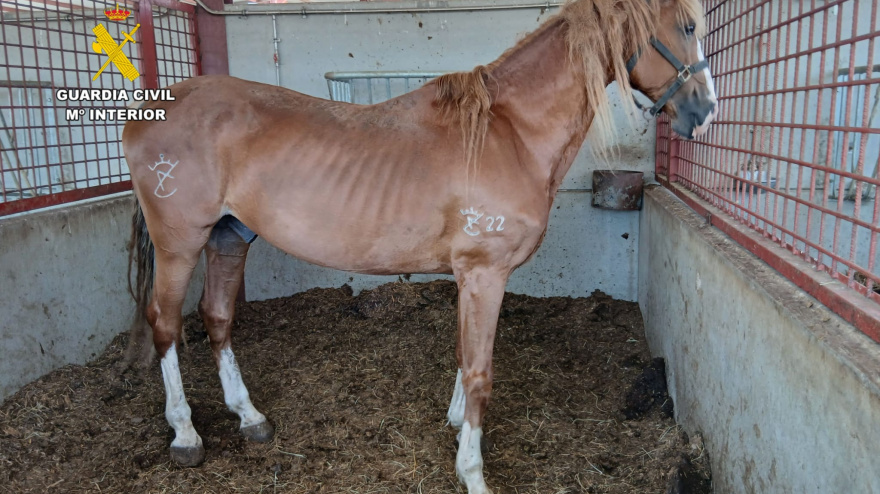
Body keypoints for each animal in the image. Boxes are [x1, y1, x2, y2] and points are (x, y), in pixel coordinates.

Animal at [122, 0, 716, 491]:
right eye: (687, 27)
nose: (704, 112)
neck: (510, 132)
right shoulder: (484, 272)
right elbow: (480, 372)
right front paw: (472, 472)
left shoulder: (470, 276)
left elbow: (462, 354)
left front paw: (455, 425)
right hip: (180, 244)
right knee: (166, 324)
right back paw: (185, 436)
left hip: (229, 237)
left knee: (217, 317)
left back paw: (250, 418)